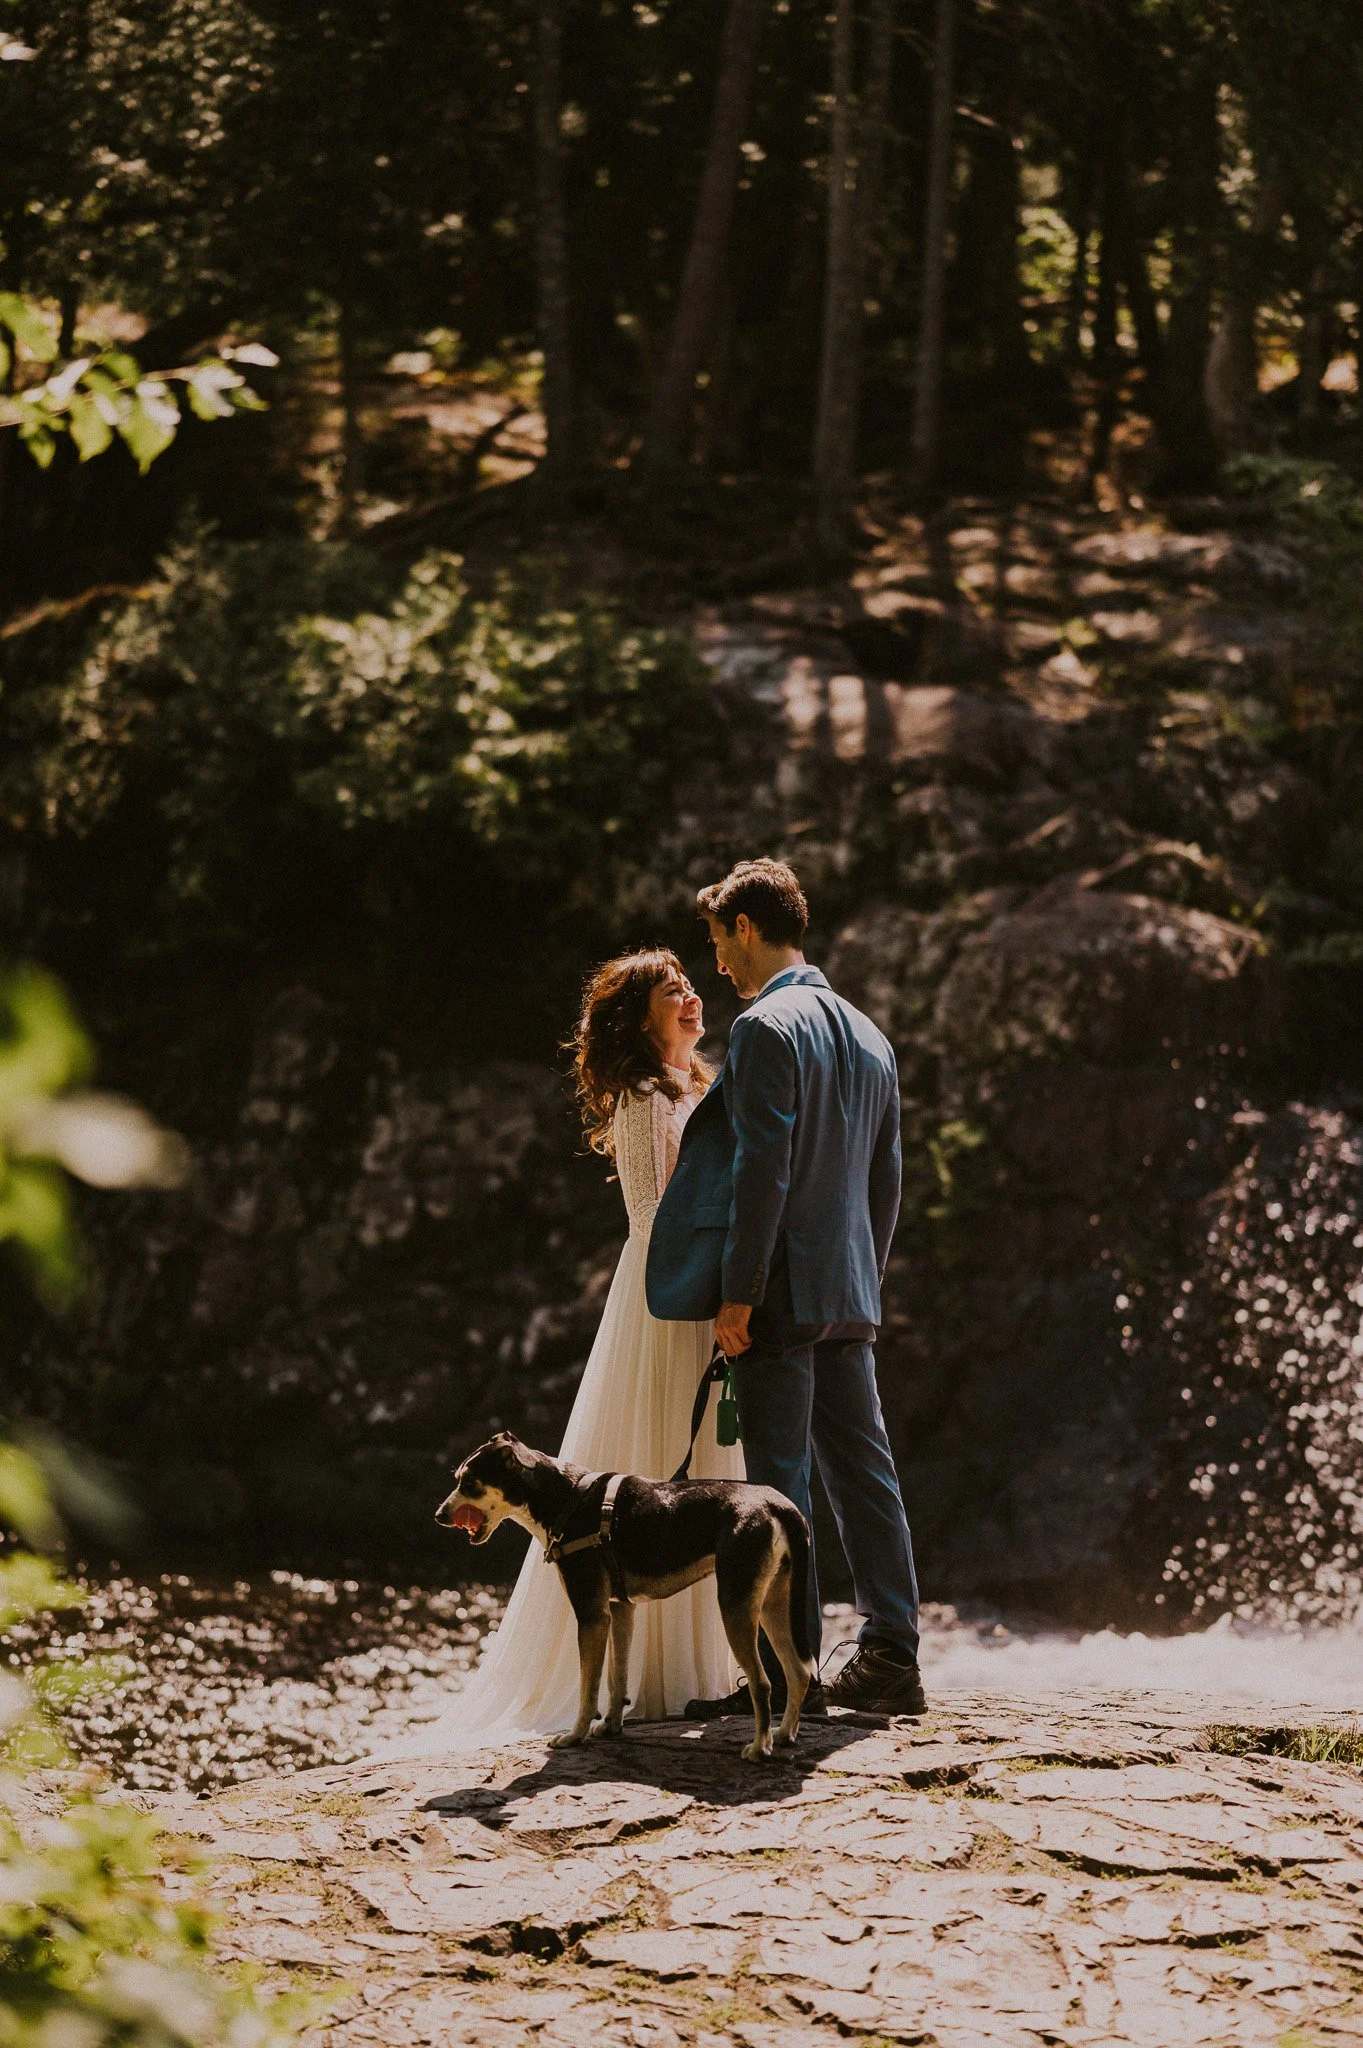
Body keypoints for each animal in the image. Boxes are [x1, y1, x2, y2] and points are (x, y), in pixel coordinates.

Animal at [440, 1441, 810, 1761]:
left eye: (470, 1483)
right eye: (458, 1479)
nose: (439, 1515)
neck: (567, 1498)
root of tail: (777, 1504)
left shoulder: (591, 1614)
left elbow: (589, 1688)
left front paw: (575, 1736)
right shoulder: (620, 1609)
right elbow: (617, 1677)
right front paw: (610, 1726)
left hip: (736, 1606)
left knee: (762, 1683)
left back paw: (760, 1748)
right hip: (774, 1606)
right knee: (799, 1672)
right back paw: (783, 1735)